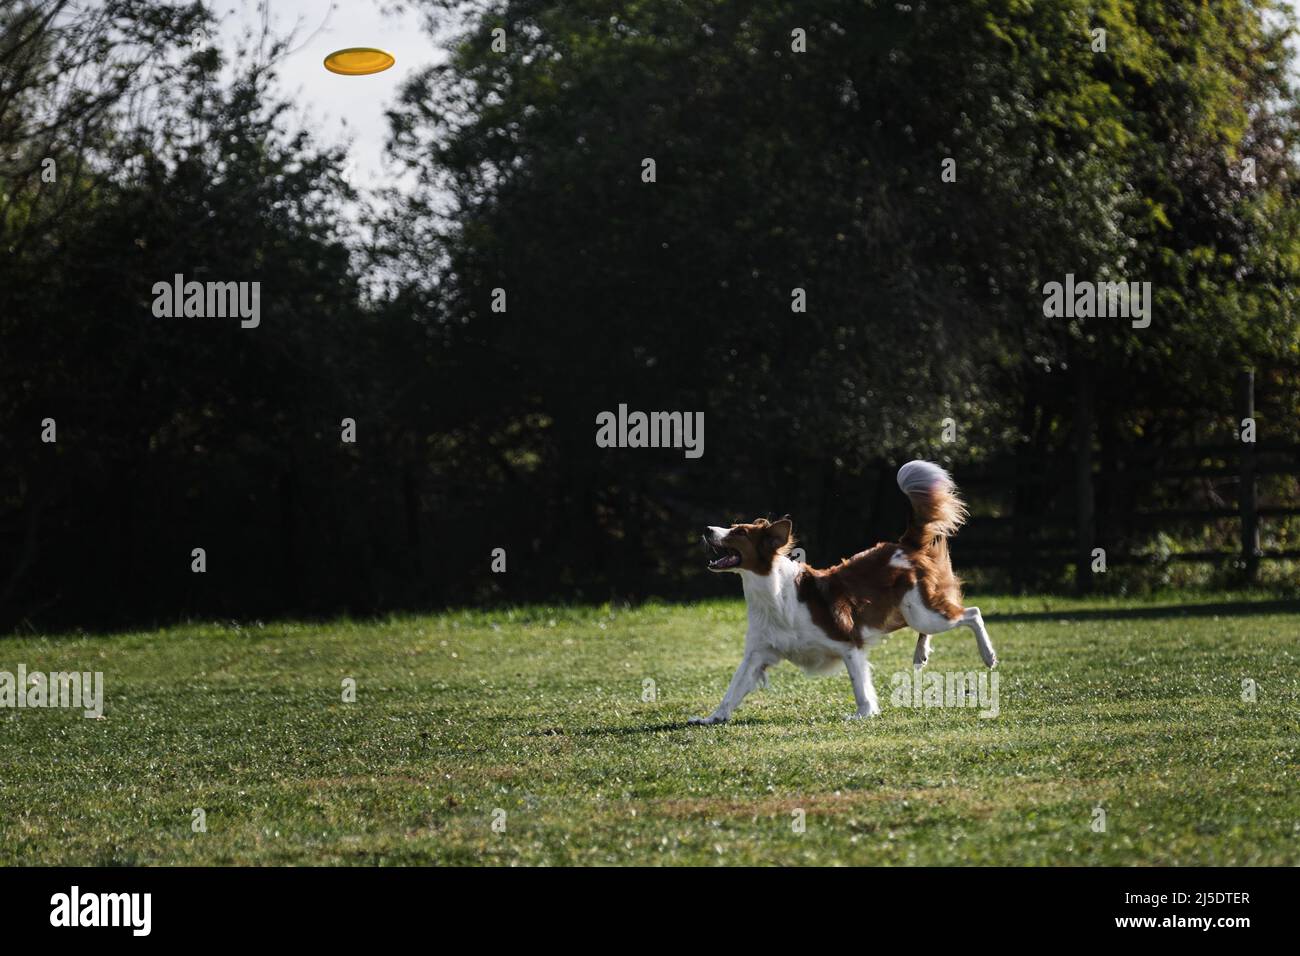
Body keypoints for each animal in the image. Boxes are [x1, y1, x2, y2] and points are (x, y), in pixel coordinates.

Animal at [696, 463, 998, 723]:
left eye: (740, 532)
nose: (707, 528)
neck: (773, 595)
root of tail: (905, 544)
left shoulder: (848, 642)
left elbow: (860, 685)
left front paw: (864, 713)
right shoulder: (757, 654)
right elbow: (733, 689)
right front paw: (712, 718)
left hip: (922, 612)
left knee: (972, 613)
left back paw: (988, 655)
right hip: (910, 610)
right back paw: (921, 653)